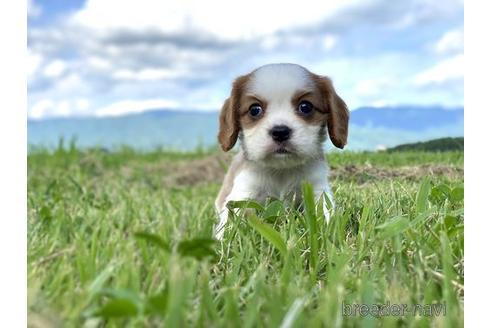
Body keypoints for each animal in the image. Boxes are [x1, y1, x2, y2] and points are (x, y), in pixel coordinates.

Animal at [213, 63, 348, 238]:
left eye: (306, 107)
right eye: (254, 109)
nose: (280, 132)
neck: (281, 170)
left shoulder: (317, 187)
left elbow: (326, 212)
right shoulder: (244, 192)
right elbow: (230, 221)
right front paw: (222, 240)